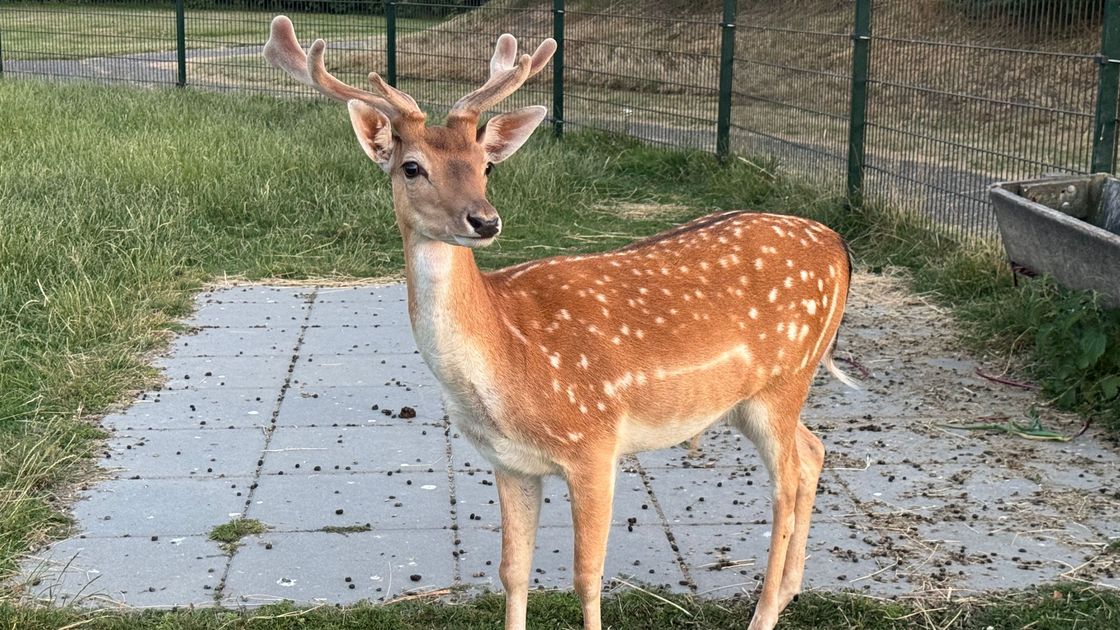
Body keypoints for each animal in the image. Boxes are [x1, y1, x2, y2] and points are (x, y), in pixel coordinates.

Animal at [264, 16, 857, 630]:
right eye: (412, 167)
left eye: (486, 165)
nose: (484, 220)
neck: (506, 361)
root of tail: (840, 247)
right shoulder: (510, 463)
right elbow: (512, 571)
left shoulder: (593, 442)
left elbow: (586, 577)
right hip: (748, 400)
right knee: (813, 453)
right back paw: (789, 592)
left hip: (785, 379)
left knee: (787, 481)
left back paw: (765, 610)